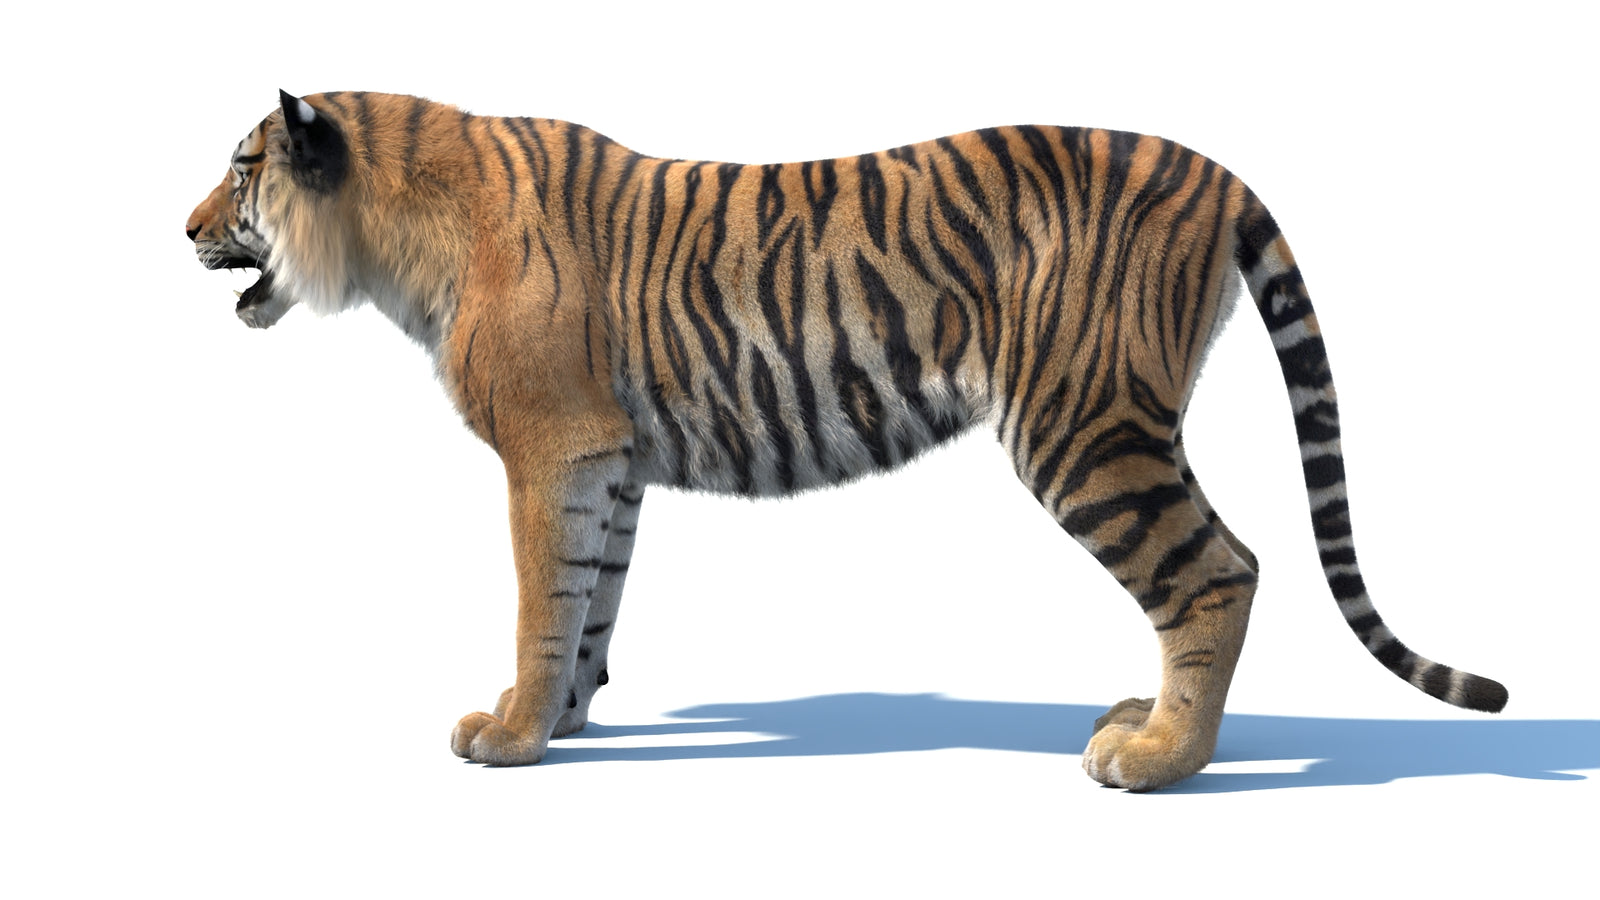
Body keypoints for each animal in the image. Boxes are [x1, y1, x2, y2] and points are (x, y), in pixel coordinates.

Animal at [187, 90, 1506, 791]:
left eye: (242, 168)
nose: (184, 227)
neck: (389, 239)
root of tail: (1217, 170)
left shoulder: (550, 451)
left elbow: (536, 599)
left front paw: (508, 735)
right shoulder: (607, 463)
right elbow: (590, 601)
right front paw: (559, 718)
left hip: (1082, 426)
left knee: (1220, 570)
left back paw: (1159, 757)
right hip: (1125, 421)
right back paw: (1140, 717)